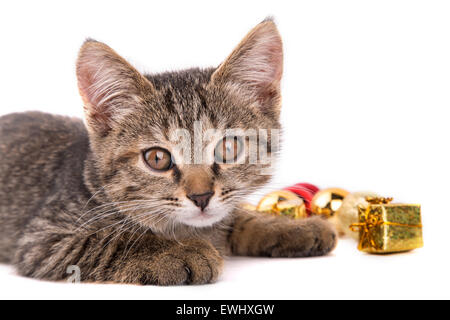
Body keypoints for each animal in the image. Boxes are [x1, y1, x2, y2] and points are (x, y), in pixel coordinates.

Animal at [0, 20, 336, 284]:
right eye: (157, 159)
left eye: (228, 148)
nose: (201, 196)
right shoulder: (45, 239)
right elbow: (112, 240)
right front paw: (181, 251)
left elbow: (237, 216)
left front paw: (288, 227)